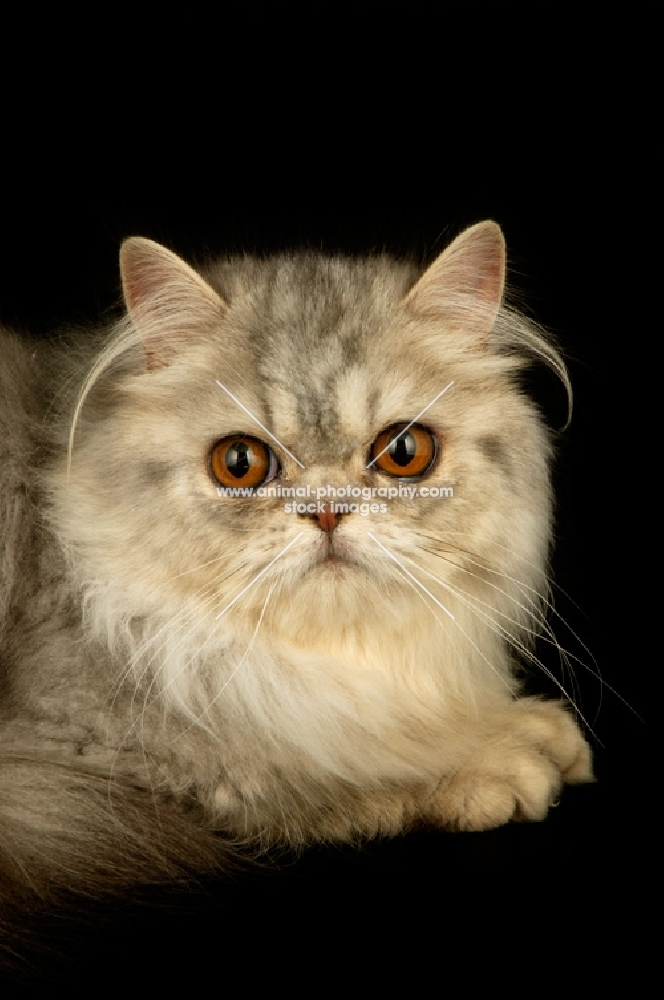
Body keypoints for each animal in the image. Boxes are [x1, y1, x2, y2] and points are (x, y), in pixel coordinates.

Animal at [0, 221, 592, 944]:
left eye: (404, 452)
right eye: (239, 463)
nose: (328, 511)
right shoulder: (88, 745)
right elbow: (318, 768)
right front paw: (496, 759)